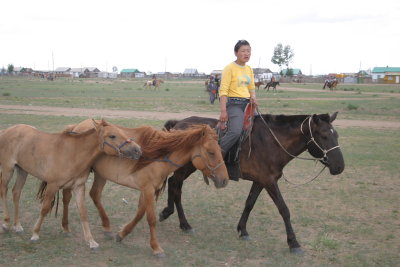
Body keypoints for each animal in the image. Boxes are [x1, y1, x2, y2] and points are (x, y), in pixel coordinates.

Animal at [0, 120, 142, 250]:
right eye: (112, 136)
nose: (138, 150)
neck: (73, 153)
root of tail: (6, 131)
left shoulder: (78, 187)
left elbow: (83, 213)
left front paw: (91, 241)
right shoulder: (52, 186)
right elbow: (45, 209)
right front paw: (35, 234)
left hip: (22, 171)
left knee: (16, 192)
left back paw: (17, 226)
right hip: (8, 169)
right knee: (4, 190)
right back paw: (6, 223)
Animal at [44, 120, 228, 258]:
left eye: (220, 150)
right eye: (211, 152)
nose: (224, 180)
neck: (158, 156)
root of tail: (75, 127)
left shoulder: (148, 190)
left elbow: (140, 213)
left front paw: (122, 234)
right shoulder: (147, 189)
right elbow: (151, 219)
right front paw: (156, 248)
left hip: (100, 175)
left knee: (94, 194)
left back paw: (106, 228)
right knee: (68, 197)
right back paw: (66, 227)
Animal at [158, 112, 346, 253]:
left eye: (336, 135)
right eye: (324, 136)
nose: (340, 167)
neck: (273, 142)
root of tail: (178, 123)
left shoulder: (261, 181)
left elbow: (249, 203)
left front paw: (243, 230)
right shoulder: (269, 182)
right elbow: (284, 209)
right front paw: (293, 243)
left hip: (188, 168)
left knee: (173, 184)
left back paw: (171, 215)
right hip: (184, 168)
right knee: (176, 188)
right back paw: (183, 222)